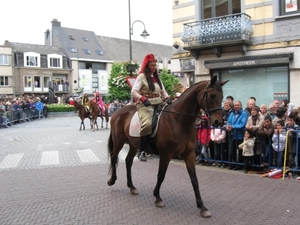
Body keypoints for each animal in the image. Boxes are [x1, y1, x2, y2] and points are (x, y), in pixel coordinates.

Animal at [107, 75, 227, 218]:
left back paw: (132, 187)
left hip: (133, 145)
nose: (218, 122)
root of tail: (117, 111)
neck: (179, 120)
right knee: (114, 158)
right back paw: (112, 180)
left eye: (222, 96)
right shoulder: (166, 155)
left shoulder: (189, 154)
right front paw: (157, 198)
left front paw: (202, 207)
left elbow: (194, 180)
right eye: (212, 95)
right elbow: (161, 175)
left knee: (128, 161)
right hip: (118, 142)